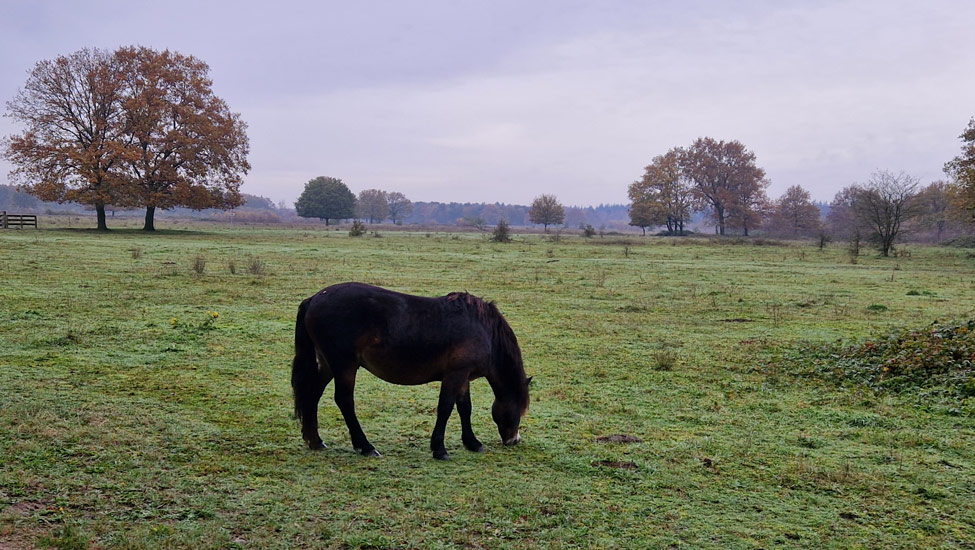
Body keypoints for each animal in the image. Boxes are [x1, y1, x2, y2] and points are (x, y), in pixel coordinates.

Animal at [291, 282, 531, 460]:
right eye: (517, 409)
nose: (514, 440)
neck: (482, 329)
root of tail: (314, 298)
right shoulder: (455, 374)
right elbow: (445, 408)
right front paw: (439, 449)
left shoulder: (463, 376)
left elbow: (465, 408)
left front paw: (472, 442)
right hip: (344, 366)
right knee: (344, 401)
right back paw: (366, 447)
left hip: (327, 365)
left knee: (312, 395)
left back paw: (316, 441)